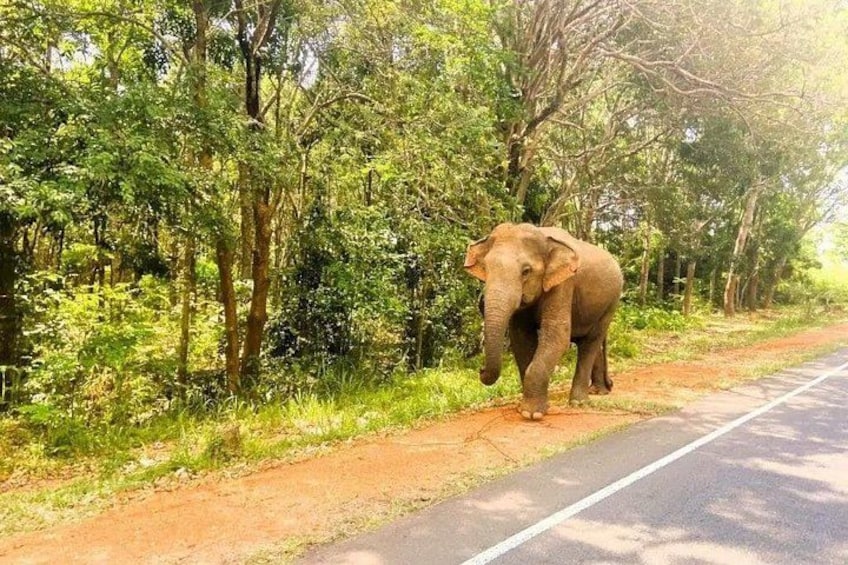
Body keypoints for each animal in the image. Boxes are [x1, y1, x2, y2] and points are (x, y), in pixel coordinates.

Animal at [464, 222, 623, 421]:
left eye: (526, 271)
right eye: (485, 268)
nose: (480, 369)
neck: (543, 236)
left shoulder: (564, 283)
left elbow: (557, 335)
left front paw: (531, 414)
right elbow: (521, 338)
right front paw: (531, 408)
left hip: (612, 302)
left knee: (591, 342)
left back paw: (579, 402)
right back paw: (598, 391)